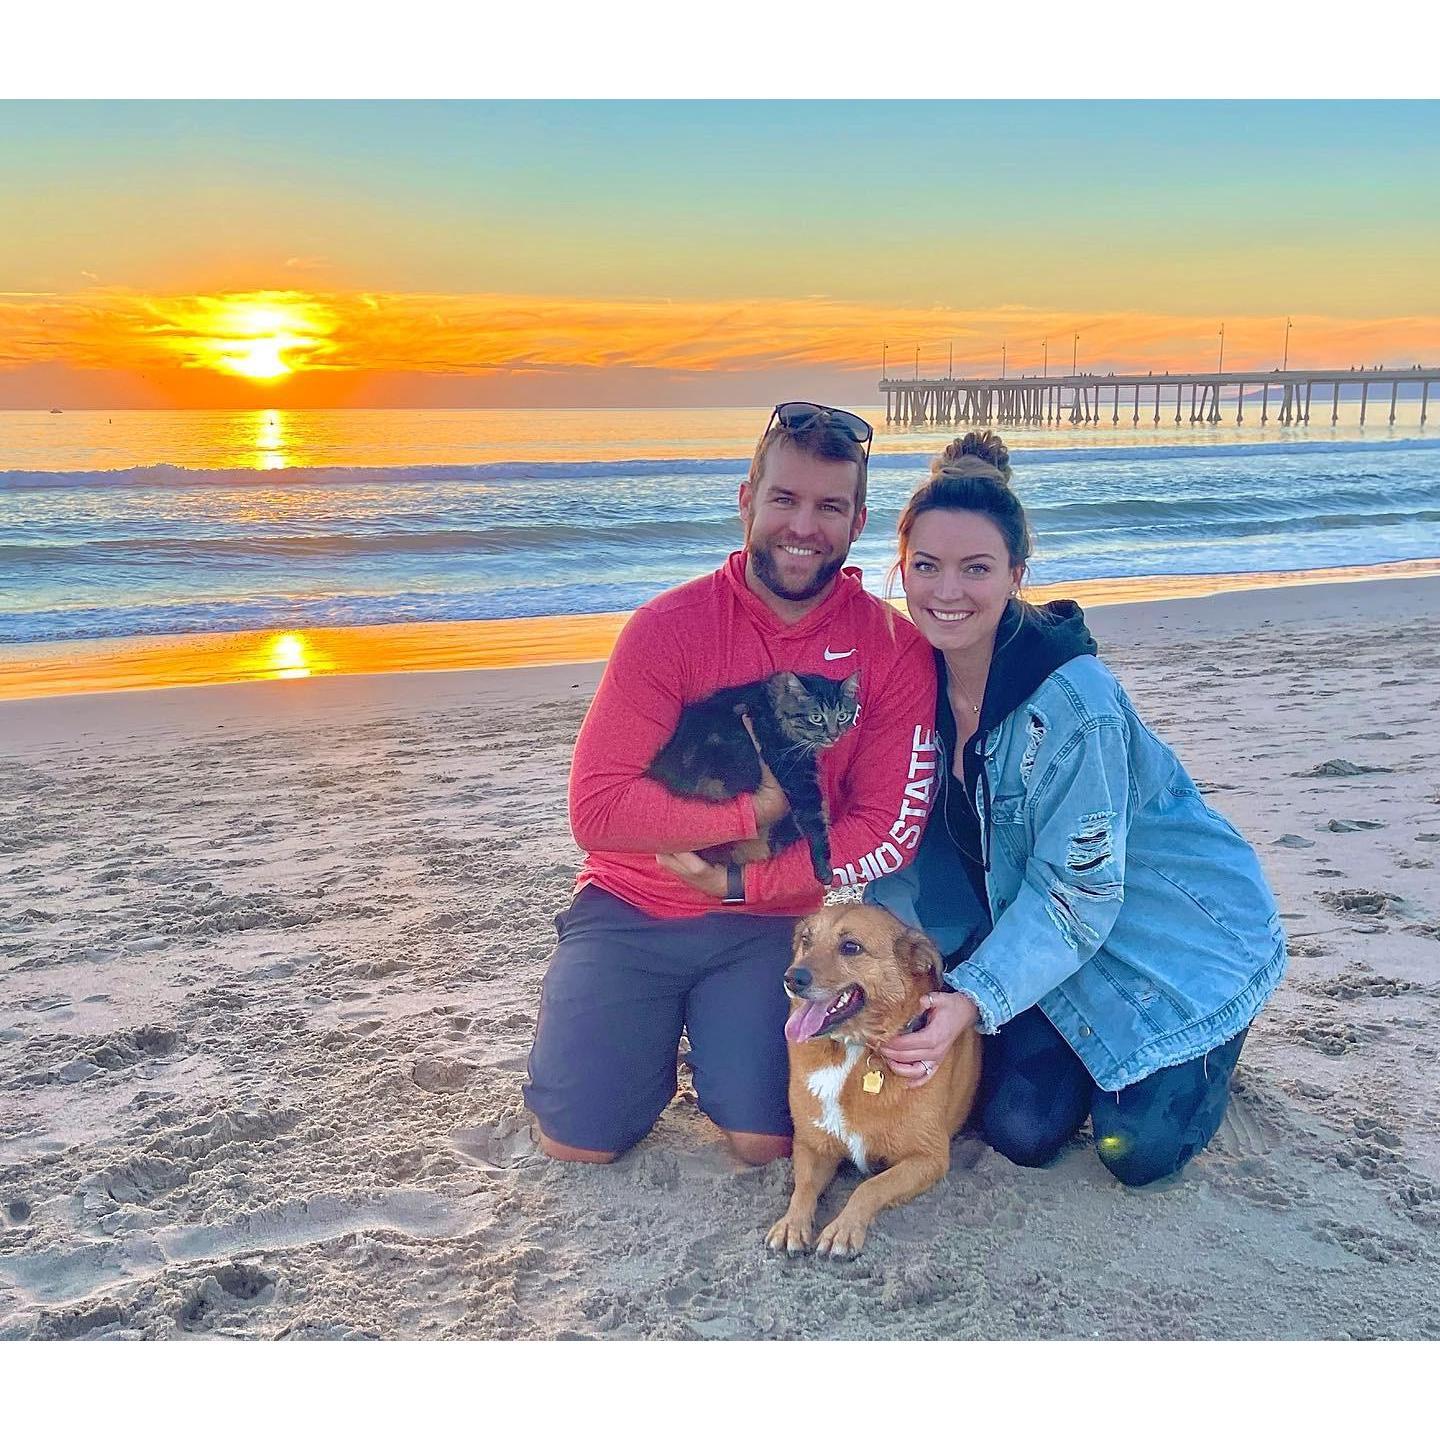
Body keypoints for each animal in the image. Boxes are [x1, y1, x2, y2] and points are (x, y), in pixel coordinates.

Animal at [648, 668, 858, 881]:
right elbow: (815, 823)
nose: (833, 734)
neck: (775, 708)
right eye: (816, 717)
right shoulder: (798, 776)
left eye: (842, 716)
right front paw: (824, 870)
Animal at [771, 904, 984, 1255]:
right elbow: (803, 1187)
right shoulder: (811, 1145)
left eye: (850, 947)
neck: (854, 1048)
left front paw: (843, 1229)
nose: (791, 978)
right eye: (806, 940)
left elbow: (870, 1186)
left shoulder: (929, 1158)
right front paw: (792, 1223)